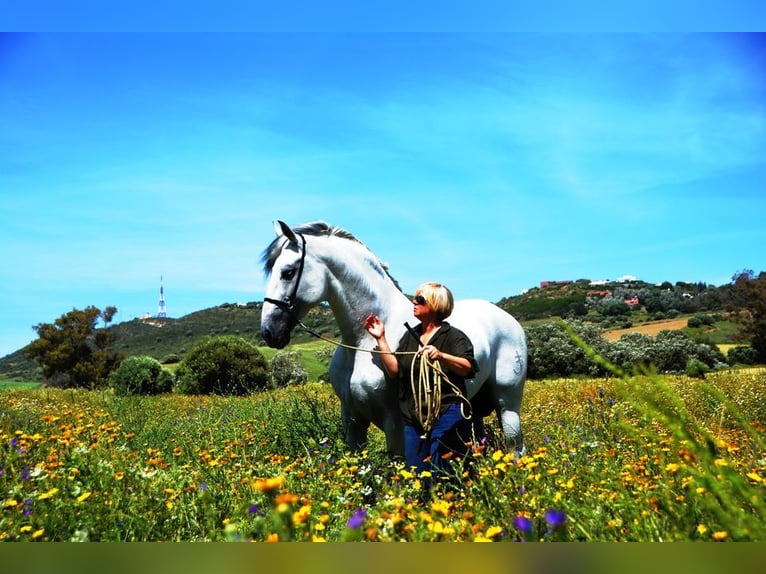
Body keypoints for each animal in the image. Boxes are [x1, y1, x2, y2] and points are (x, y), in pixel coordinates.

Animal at [260, 222, 528, 460]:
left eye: (288, 272)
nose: (268, 332)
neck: (361, 343)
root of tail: (509, 320)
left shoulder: (394, 423)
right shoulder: (352, 419)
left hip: (508, 403)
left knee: (515, 448)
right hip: (471, 405)